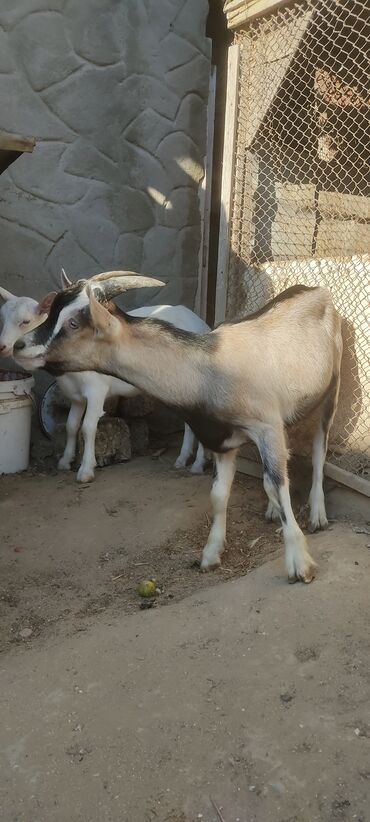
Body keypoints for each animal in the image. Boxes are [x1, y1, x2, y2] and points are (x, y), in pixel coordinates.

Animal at [0, 278, 208, 480]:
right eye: (2, 319)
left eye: (26, 321)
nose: (11, 346)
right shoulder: (75, 396)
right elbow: (71, 425)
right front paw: (65, 461)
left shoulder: (96, 391)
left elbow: (88, 427)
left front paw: (86, 470)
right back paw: (182, 460)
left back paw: (197, 465)